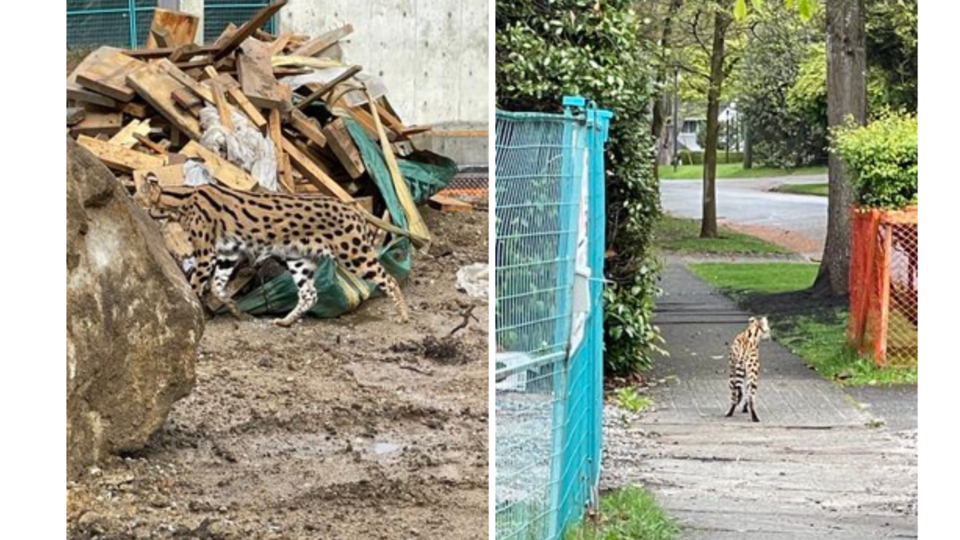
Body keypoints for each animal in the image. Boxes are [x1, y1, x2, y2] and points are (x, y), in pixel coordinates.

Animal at [137, 174, 406, 324]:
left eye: (138, 197)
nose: (133, 199)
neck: (182, 199)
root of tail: (355, 210)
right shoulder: (227, 253)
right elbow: (217, 286)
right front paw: (235, 310)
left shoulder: (206, 252)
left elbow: (195, 285)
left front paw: (193, 310)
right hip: (299, 258)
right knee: (310, 294)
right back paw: (285, 322)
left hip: (354, 254)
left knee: (390, 279)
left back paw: (402, 315)